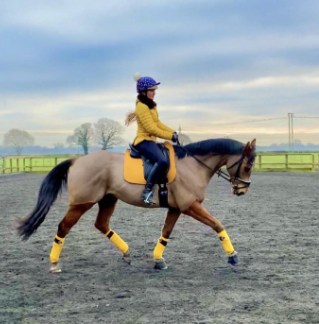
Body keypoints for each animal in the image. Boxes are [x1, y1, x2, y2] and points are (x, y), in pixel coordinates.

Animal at [17, 138, 258, 272]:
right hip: (82, 203)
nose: (242, 190)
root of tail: (78, 161)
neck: (192, 165)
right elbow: (217, 224)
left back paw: (126, 253)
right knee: (63, 227)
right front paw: (232, 256)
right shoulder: (190, 206)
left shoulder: (176, 208)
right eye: (247, 166)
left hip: (108, 199)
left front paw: (158, 260)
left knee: (102, 224)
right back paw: (54, 264)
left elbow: (166, 233)